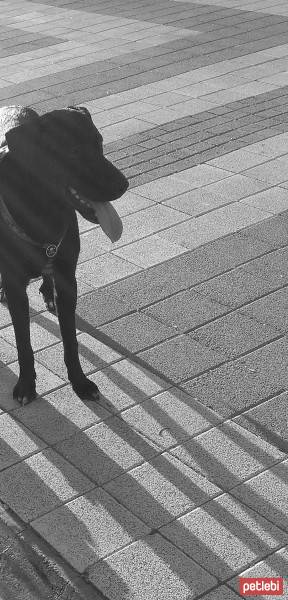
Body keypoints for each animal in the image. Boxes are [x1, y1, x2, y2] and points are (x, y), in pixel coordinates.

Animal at [0, 104, 128, 404]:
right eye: (74, 151)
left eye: (99, 142)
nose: (124, 184)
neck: (43, 209)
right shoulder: (15, 285)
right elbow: (23, 342)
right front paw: (26, 385)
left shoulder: (68, 278)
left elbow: (70, 339)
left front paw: (79, 382)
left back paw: (48, 291)